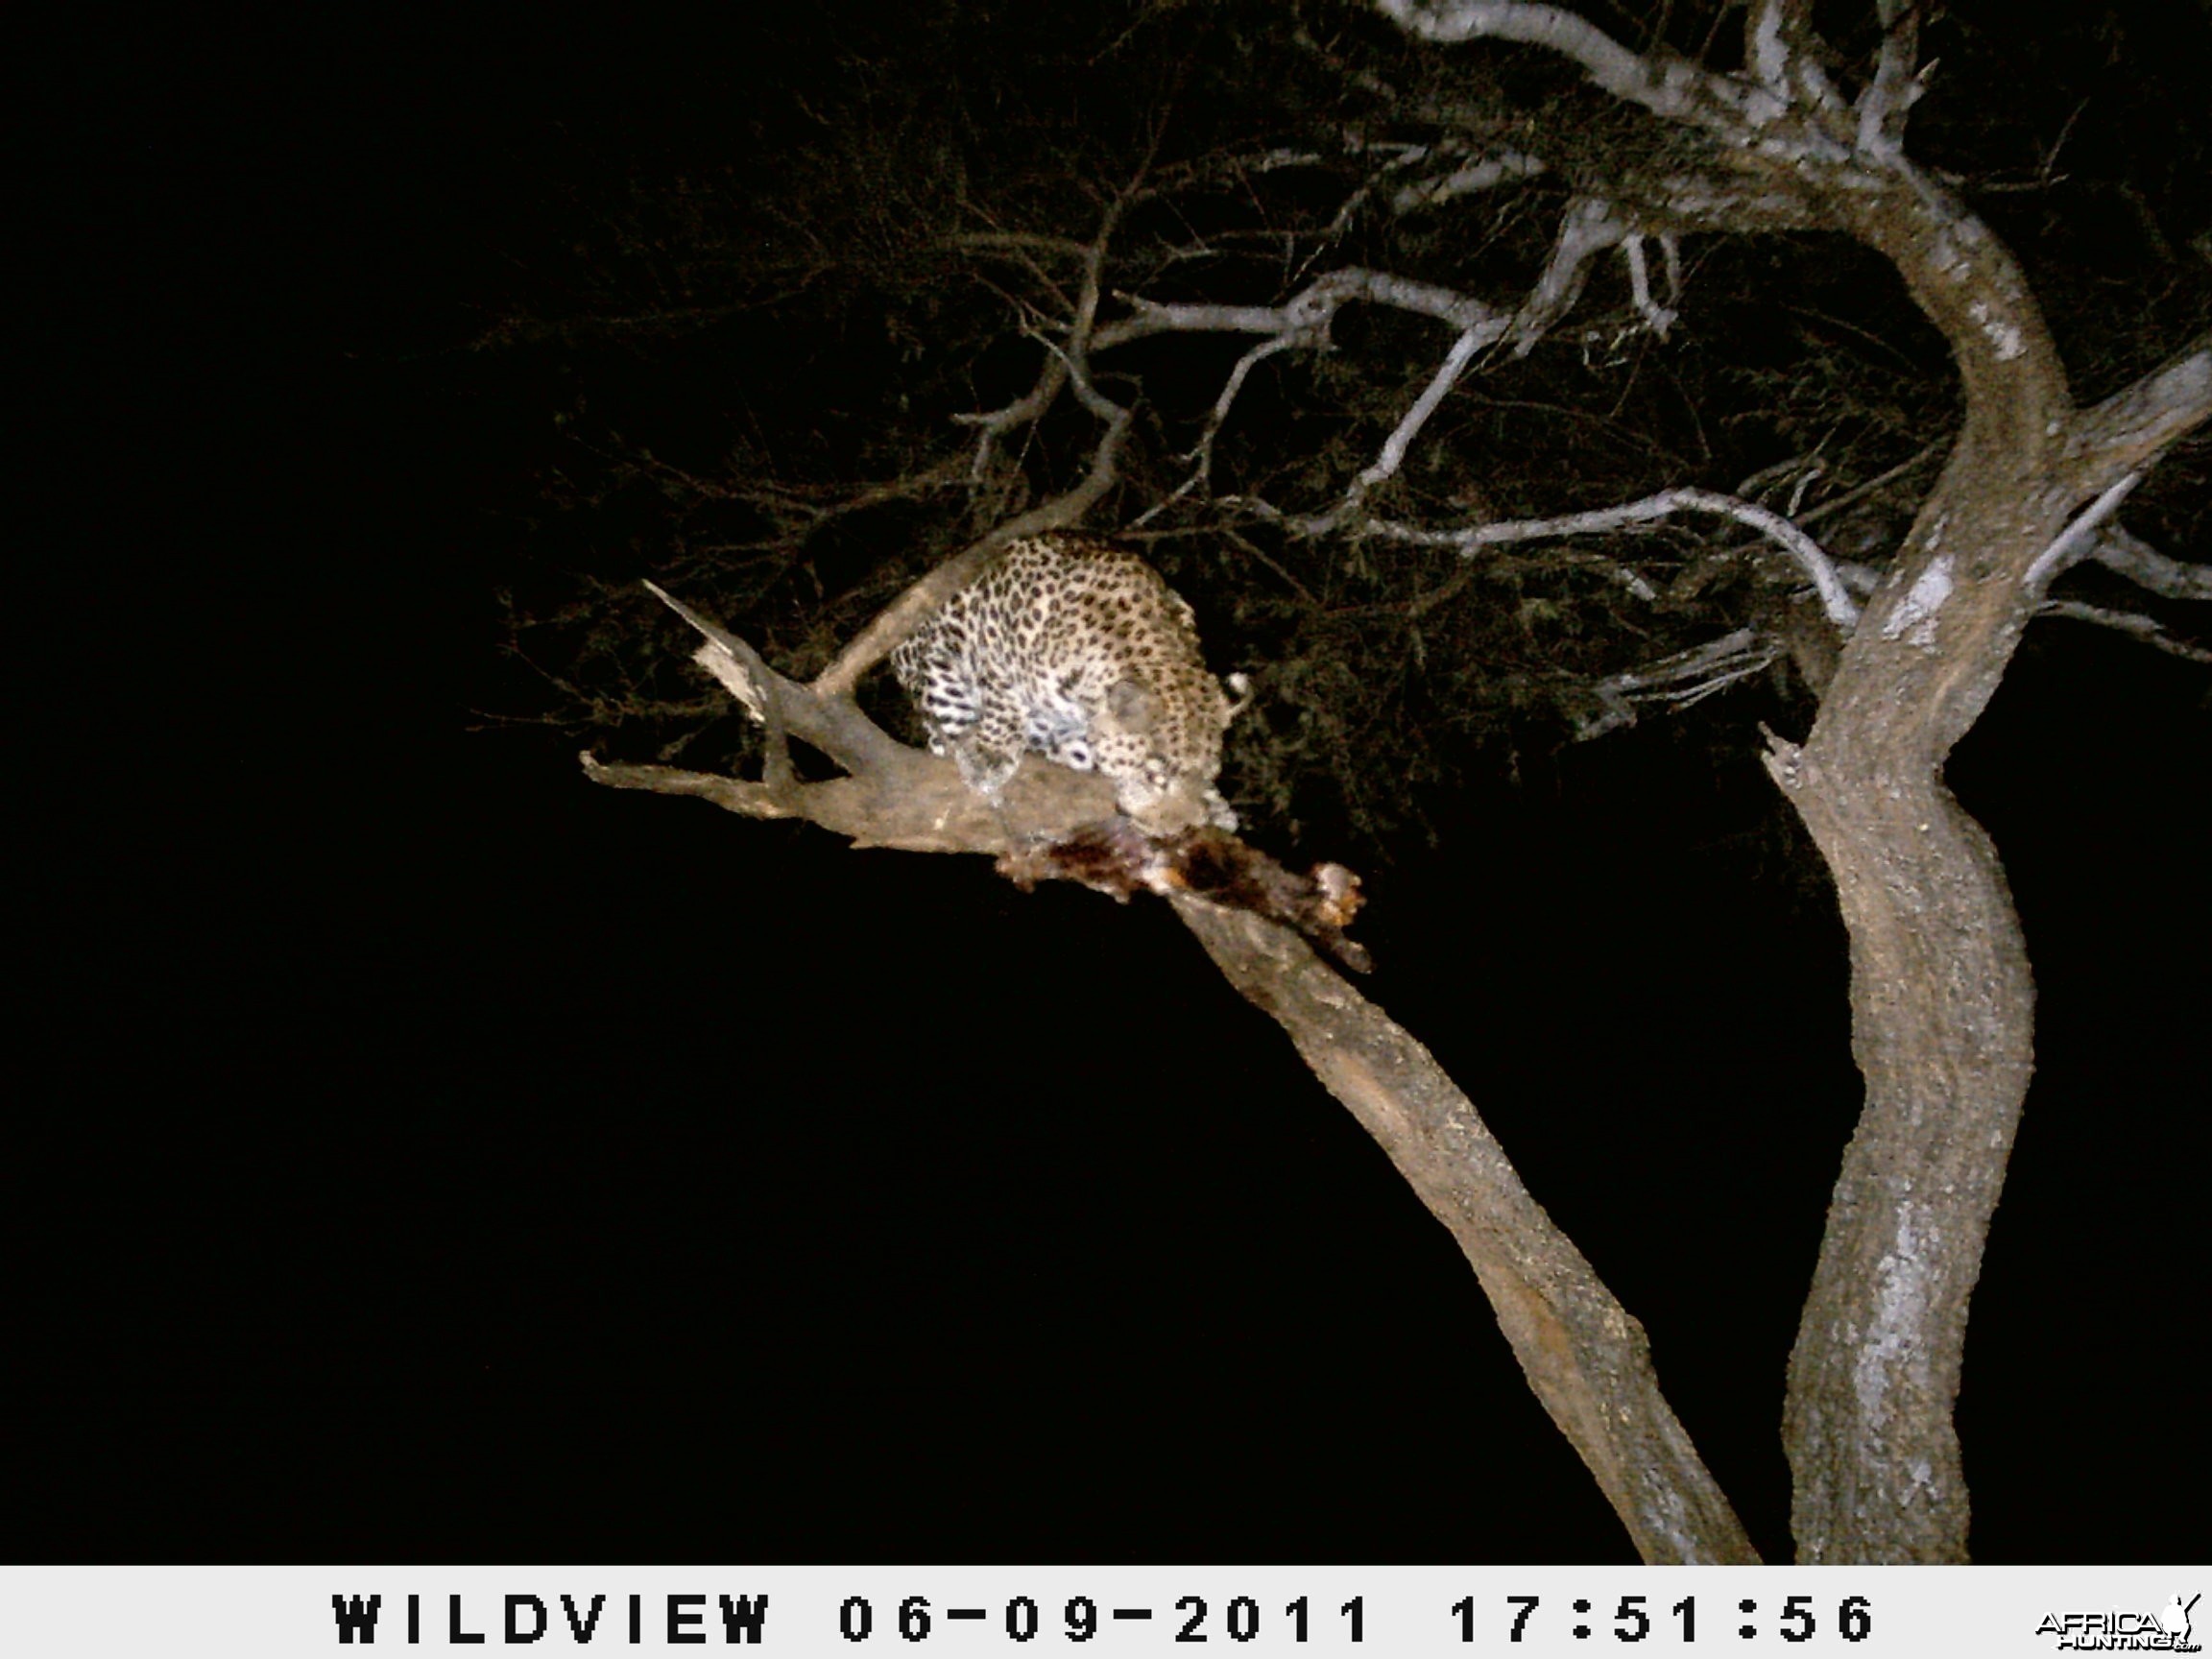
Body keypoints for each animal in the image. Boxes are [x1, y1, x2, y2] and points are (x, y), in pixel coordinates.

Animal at [893, 535, 1247, 835]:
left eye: (1206, 775)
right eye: (1154, 775)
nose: (1177, 829)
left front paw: (1214, 804)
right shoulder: (991, 635)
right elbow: (1002, 699)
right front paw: (991, 754)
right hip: (934, 666)